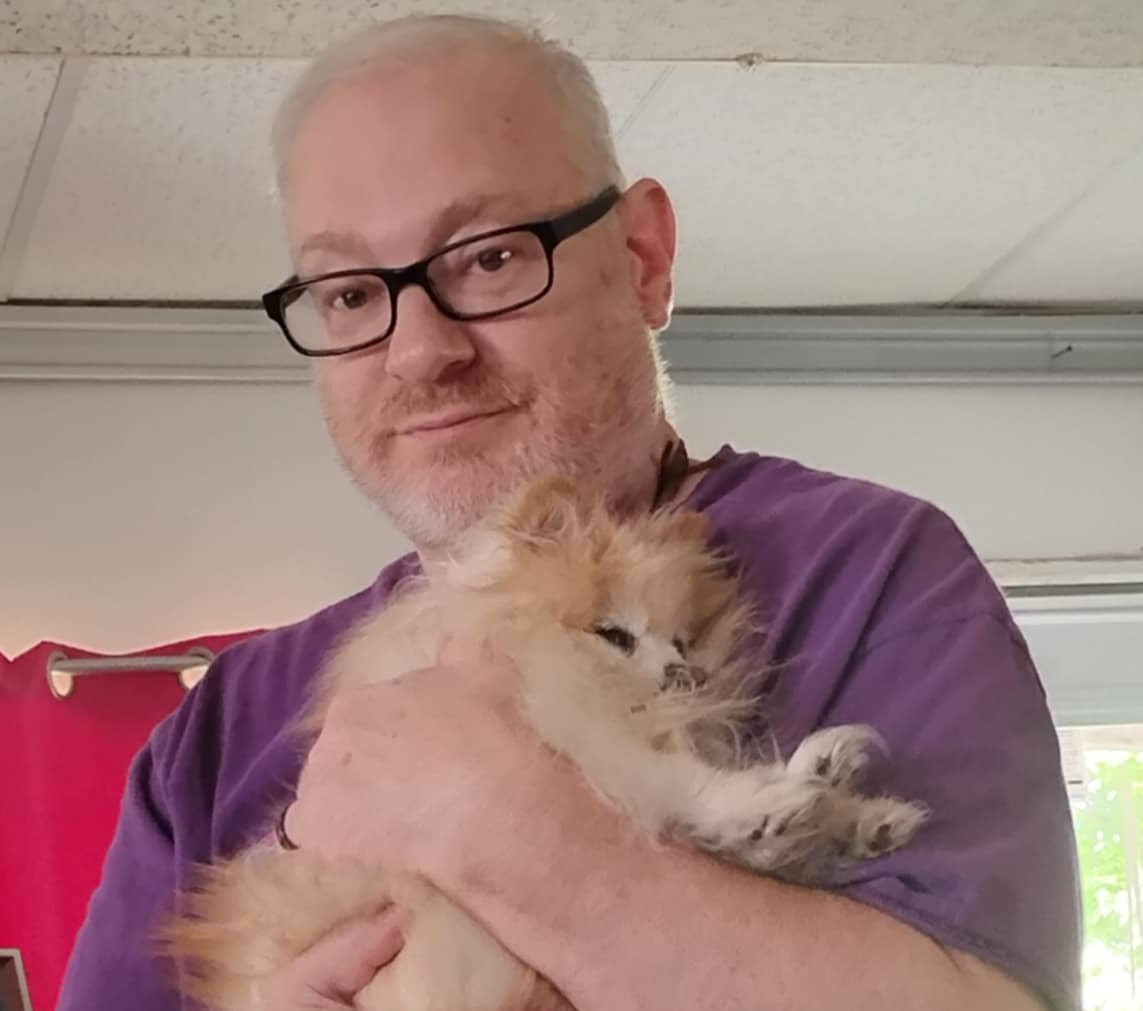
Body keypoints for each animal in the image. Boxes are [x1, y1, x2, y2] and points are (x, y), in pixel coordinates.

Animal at [163, 477, 927, 1010]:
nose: (684, 674)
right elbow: (672, 783)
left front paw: (852, 813)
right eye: (614, 633)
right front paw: (766, 804)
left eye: (682, 641)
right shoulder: (575, 727)